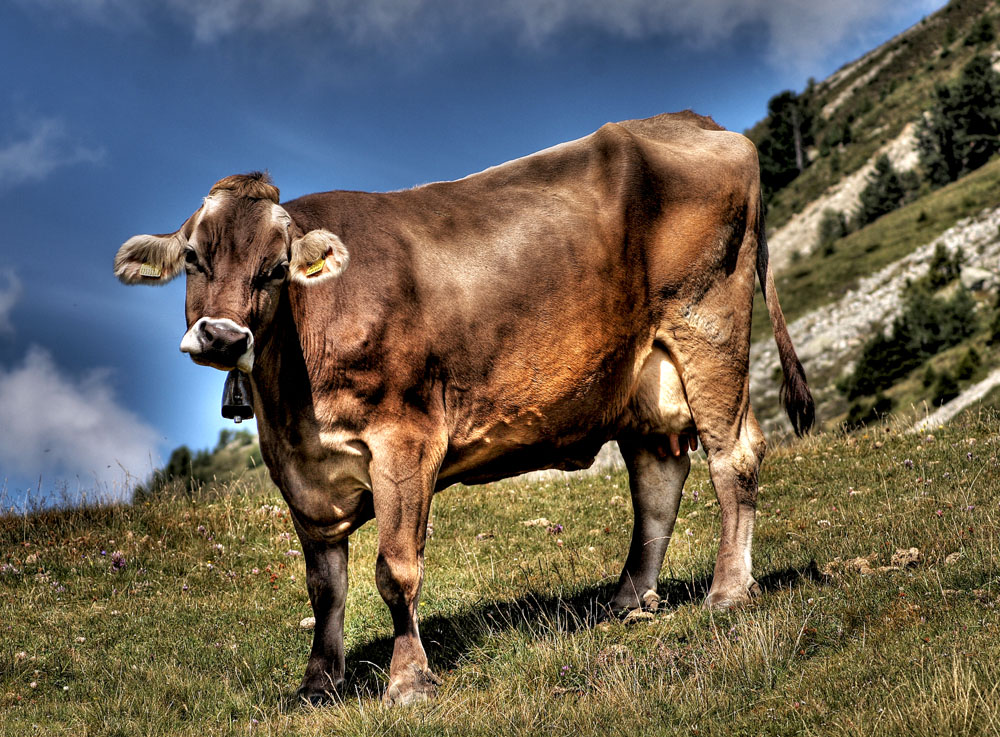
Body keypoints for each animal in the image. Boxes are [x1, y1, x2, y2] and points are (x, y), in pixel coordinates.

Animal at [113, 111, 814, 706]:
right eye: (194, 258)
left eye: (277, 267)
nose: (222, 338)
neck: (292, 404)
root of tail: (701, 123)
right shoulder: (300, 470)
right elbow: (324, 584)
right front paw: (319, 683)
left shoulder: (404, 439)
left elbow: (395, 570)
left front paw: (409, 681)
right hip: (640, 374)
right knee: (658, 480)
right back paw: (630, 600)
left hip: (709, 329)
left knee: (733, 455)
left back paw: (728, 591)